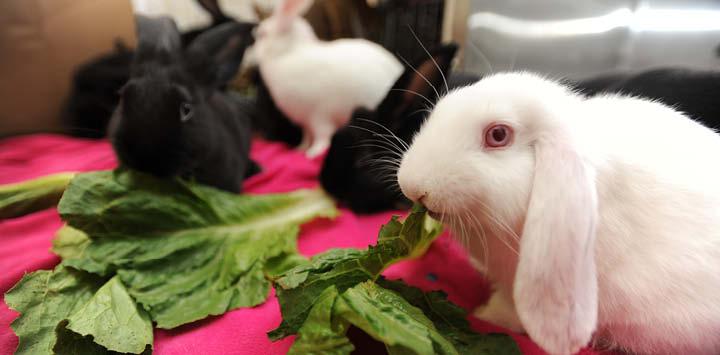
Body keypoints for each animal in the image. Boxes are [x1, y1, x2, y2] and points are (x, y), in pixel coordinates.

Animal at [253, 0, 404, 157]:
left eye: (261, 35)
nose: (253, 55)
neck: (286, 53)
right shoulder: (306, 122)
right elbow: (307, 136)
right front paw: (300, 149)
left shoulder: (319, 117)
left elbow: (322, 138)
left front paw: (312, 153)